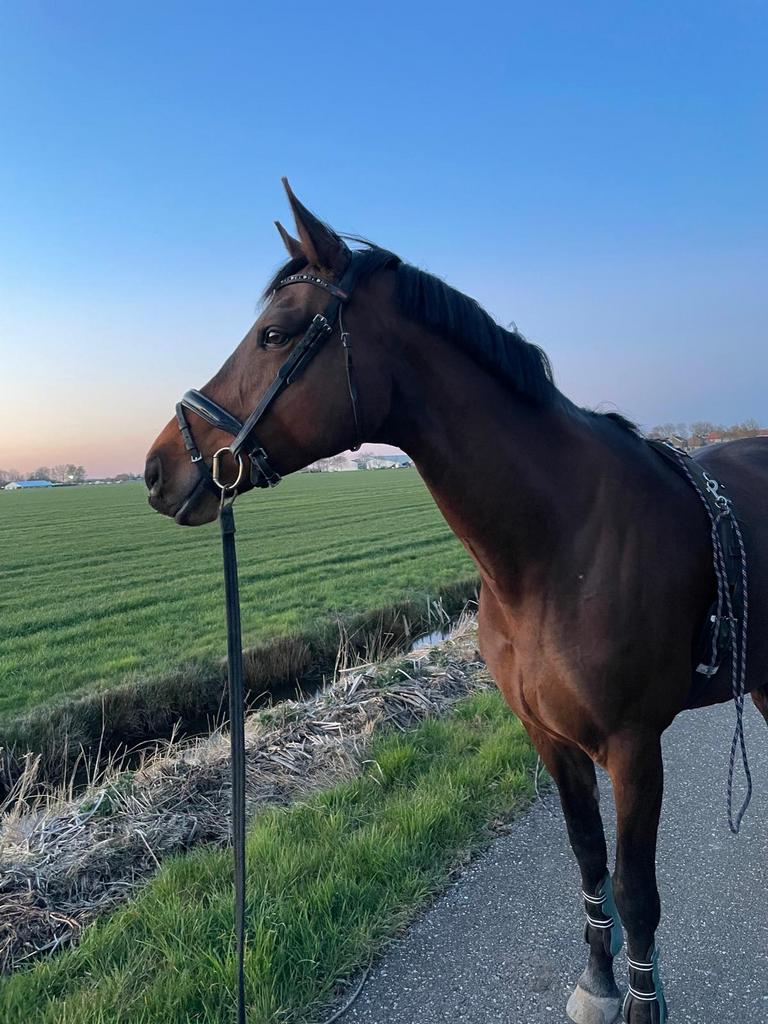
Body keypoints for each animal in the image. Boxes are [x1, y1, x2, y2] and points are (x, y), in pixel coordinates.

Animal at [145, 180, 768, 1024]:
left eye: (274, 334)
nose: (158, 469)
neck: (558, 547)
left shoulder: (635, 747)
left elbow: (639, 893)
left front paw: (641, 1000)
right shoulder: (550, 738)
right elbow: (590, 860)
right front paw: (598, 984)